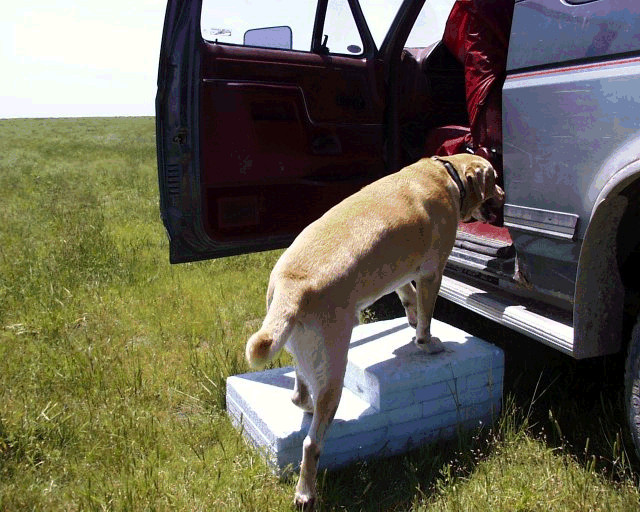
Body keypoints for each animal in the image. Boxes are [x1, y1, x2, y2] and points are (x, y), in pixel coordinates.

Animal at [246, 153, 504, 508]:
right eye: (494, 179)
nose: (504, 195)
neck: (445, 171)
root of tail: (290, 287)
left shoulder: (399, 271)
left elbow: (406, 294)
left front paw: (410, 315)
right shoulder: (432, 272)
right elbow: (425, 317)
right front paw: (426, 342)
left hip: (303, 352)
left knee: (299, 394)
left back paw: (307, 406)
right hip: (334, 371)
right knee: (312, 444)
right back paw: (305, 492)